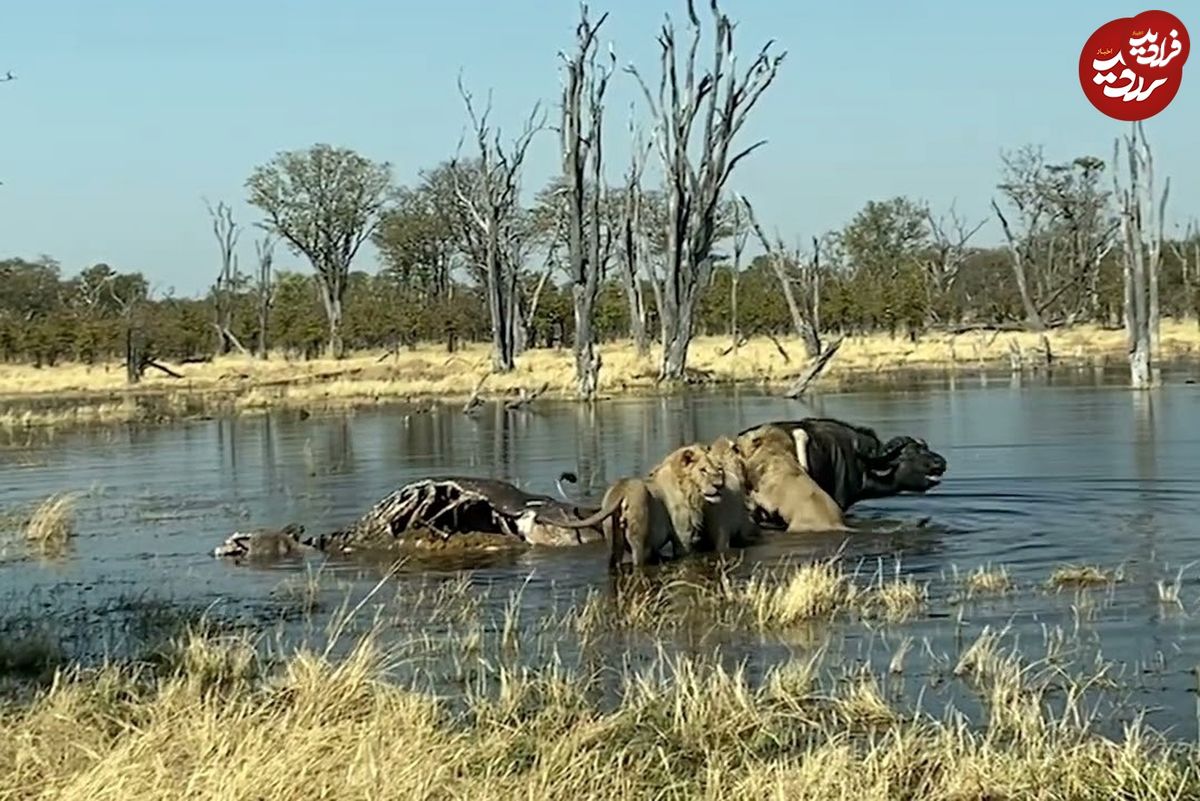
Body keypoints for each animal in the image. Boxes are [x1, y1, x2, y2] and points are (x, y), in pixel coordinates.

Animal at [542, 443, 724, 568]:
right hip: (638, 539)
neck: (688, 488)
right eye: (703, 470)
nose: (720, 485)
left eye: (716, 467)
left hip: (613, 541)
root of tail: (620, 489)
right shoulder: (682, 538)